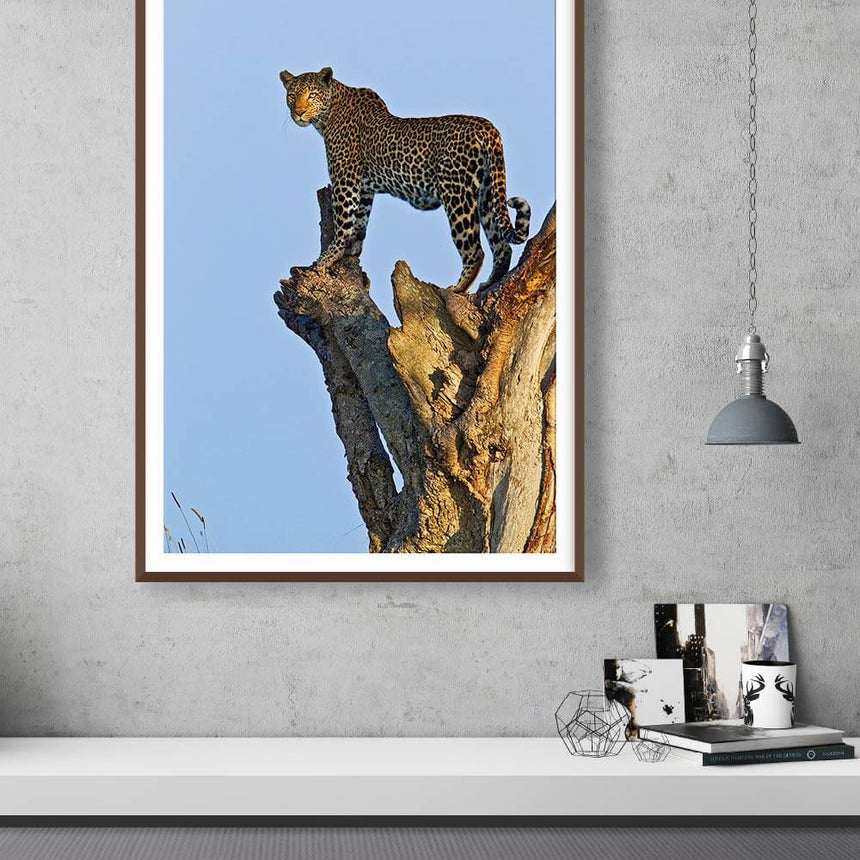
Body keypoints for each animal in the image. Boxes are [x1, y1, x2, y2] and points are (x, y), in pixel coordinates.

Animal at [280, 66, 530, 293]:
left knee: (475, 249)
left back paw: (458, 289)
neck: (327, 115)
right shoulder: (364, 189)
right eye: (292, 95)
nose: (299, 112)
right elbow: (359, 222)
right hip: (487, 193)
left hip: (456, 193)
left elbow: (342, 223)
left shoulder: (345, 180)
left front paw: (325, 260)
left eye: (311, 94)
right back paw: (490, 281)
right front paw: (352, 251)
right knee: (501, 245)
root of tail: (486, 126)